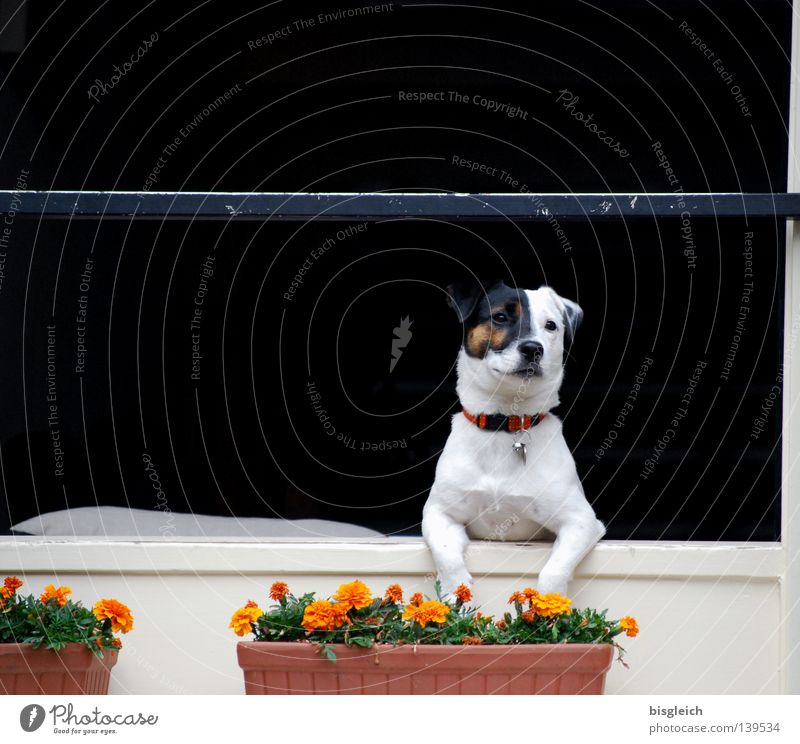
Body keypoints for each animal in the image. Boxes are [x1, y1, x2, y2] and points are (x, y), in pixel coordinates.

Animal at [422, 280, 604, 600]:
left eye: (551, 325)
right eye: (500, 317)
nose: (533, 348)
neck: (506, 422)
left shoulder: (581, 521)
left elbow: (553, 571)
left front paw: (549, 603)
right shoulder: (439, 513)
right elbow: (447, 556)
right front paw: (457, 596)